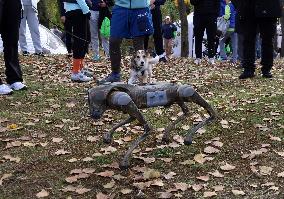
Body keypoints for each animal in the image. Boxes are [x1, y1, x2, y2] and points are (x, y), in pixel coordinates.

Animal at [87, 82, 216, 169]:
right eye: (89, 102)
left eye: (97, 102)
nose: (94, 114)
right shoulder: (128, 107)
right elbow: (131, 119)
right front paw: (108, 136)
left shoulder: (126, 101)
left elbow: (148, 128)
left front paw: (125, 162)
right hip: (177, 97)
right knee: (186, 111)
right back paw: (167, 135)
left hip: (183, 92)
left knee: (209, 110)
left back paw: (190, 136)